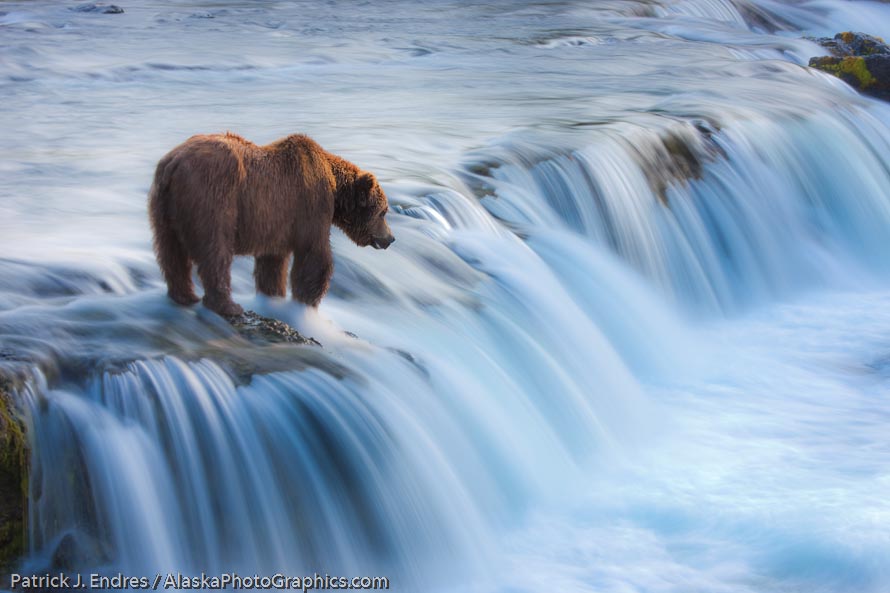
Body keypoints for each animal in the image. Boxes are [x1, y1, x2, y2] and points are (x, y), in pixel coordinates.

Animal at [149, 134, 392, 316]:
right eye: (383, 212)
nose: (390, 238)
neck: (335, 187)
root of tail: (173, 163)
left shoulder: (277, 223)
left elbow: (272, 264)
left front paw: (274, 296)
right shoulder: (311, 204)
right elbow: (315, 255)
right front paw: (307, 302)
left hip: (164, 206)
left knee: (170, 252)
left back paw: (184, 296)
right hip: (214, 196)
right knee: (215, 251)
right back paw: (228, 306)